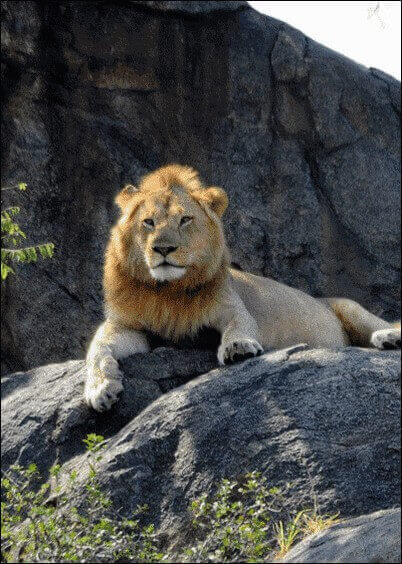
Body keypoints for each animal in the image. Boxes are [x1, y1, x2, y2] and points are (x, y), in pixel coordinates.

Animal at [84, 163, 398, 410]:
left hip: (349, 306)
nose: (163, 248)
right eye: (148, 222)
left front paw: (238, 347)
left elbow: (239, 325)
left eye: (185, 219)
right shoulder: (126, 324)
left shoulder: (231, 307)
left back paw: (388, 338)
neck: (167, 291)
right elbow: (96, 350)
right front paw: (100, 390)